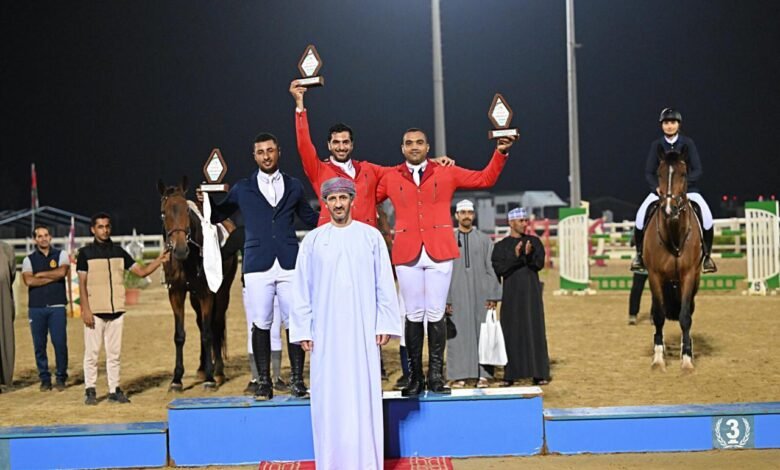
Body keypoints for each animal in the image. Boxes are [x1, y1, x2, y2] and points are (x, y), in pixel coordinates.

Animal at [158, 176, 239, 390]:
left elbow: (209, 333)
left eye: (186, 210)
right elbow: (180, 335)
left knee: (215, 325)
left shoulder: (207, 294)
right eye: (163, 213)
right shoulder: (176, 294)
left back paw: (217, 371)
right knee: (202, 324)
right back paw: (203, 368)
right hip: (194, 297)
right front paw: (176, 379)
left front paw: (211, 377)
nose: (179, 250)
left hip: (222, 292)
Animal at [643, 145, 703, 372]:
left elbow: (685, 316)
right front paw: (658, 359)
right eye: (659, 174)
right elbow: (659, 315)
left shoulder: (688, 276)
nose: (670, 209)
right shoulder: (654, 276)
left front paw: (686, 359)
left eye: (684, 174)